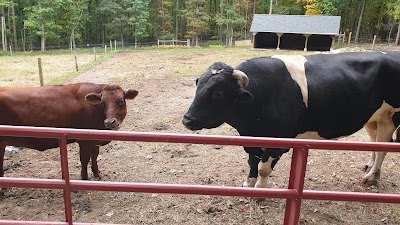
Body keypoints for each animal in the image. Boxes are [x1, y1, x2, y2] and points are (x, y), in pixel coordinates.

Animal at [0, 82, 138, 181]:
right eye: (102, 103)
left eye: (121, 101)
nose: (109, 122)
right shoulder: (84, 141)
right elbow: (84, 159)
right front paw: (84, 178)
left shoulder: (94, 140)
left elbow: (94, 156)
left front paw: (97, 173)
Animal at [183, 51, 400, 187]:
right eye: (198, 84)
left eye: (218, 93)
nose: (187, 119)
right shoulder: (251, 139)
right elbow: (252, 163)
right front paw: (248, 183)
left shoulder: (279, 143)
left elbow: (263, 168)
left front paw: (260, 190)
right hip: (373, 119)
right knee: (375, 142)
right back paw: (370, 166)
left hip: (391, 117)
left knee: (384, 146)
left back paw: (371, 177)